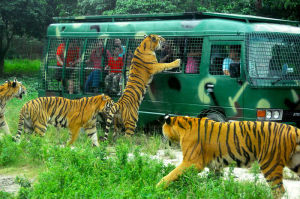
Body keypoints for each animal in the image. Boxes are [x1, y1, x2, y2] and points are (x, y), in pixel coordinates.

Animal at [157, 114, 300, 198]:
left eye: (163, 128)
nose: (162, 135)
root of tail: (293, 129)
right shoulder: (215, 167)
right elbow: (213, 183)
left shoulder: (192, 162)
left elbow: (171, 175)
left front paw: (157, 187)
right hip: (295, 163)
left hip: (270, 163)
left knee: (278, 190)